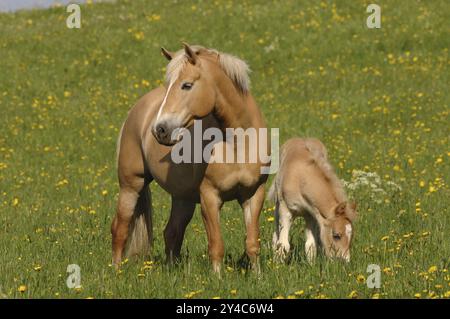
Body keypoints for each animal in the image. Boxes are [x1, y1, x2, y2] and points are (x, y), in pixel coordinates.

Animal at [110, 42, 268, 274]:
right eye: (168, 85)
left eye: (186, 85)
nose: (160, 130)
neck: (238, 145)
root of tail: (137, 110)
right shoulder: (210, 197)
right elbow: (216, 245)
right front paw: (217, 278)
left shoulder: (254, 194)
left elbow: (252, 244)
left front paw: (257, 277)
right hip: (131, 185)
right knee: (120, 228)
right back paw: (116, 270)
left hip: (182, 198)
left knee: (172, 233)